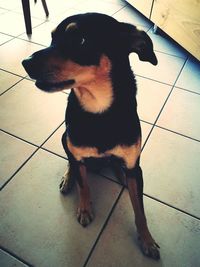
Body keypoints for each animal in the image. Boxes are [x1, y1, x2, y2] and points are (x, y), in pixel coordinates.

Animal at [21, 12, 159, 260]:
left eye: (80, 40)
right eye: (52, 37)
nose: (25, 62)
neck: (99, 110)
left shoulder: (135, 166)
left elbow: (140, 210)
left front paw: (147, 240)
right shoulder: (76, 152)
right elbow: (84, 184)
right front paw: (85, 209)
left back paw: (120, 174)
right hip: (64, 138)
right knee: (72, 163)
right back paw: (69, 178)